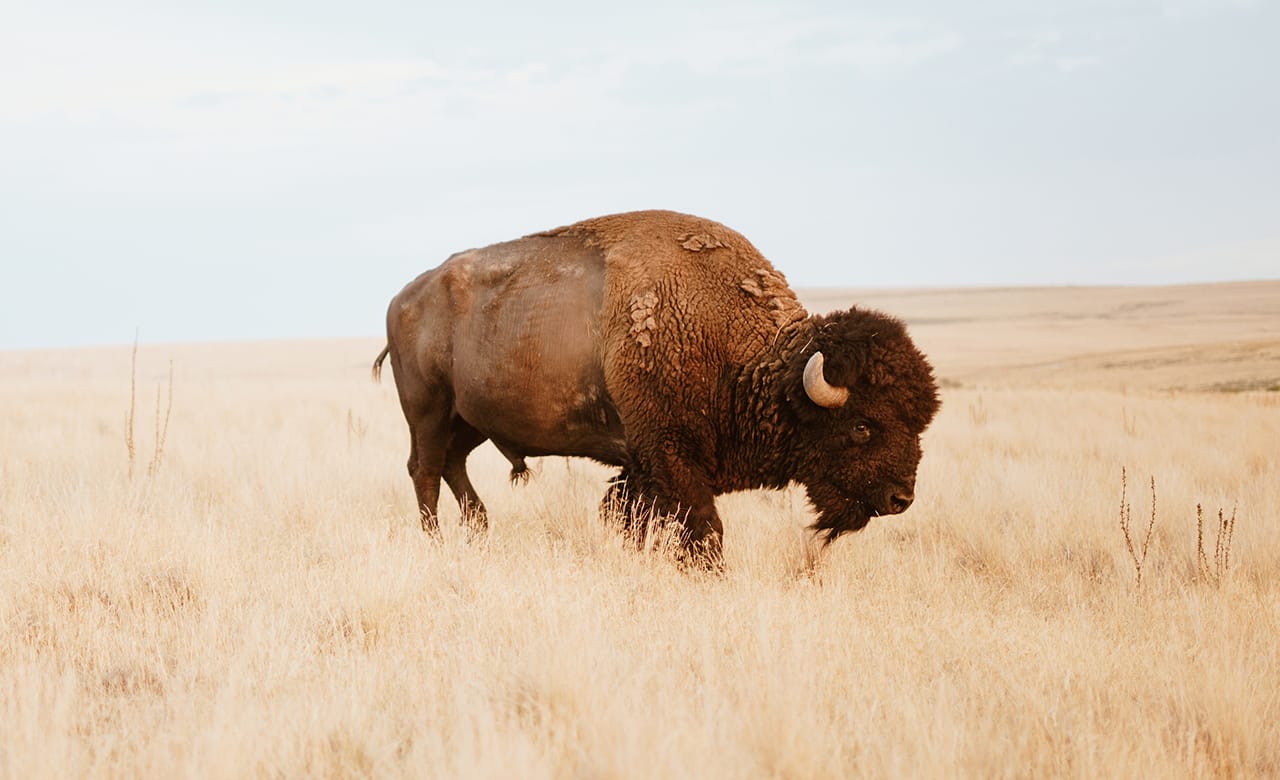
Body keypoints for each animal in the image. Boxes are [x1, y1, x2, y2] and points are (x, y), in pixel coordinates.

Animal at [374, 210, 939, 564]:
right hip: (428, 410)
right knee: (425, 471)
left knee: (453, 465)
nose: (901, 498)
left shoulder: (643, 466)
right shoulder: (670, 456)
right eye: (862, 425)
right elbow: (703, 529)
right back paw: (438, 541)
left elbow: (633, 518)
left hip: (470, 420)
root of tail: (403, 297)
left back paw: (479, 529)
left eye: (919, 424)